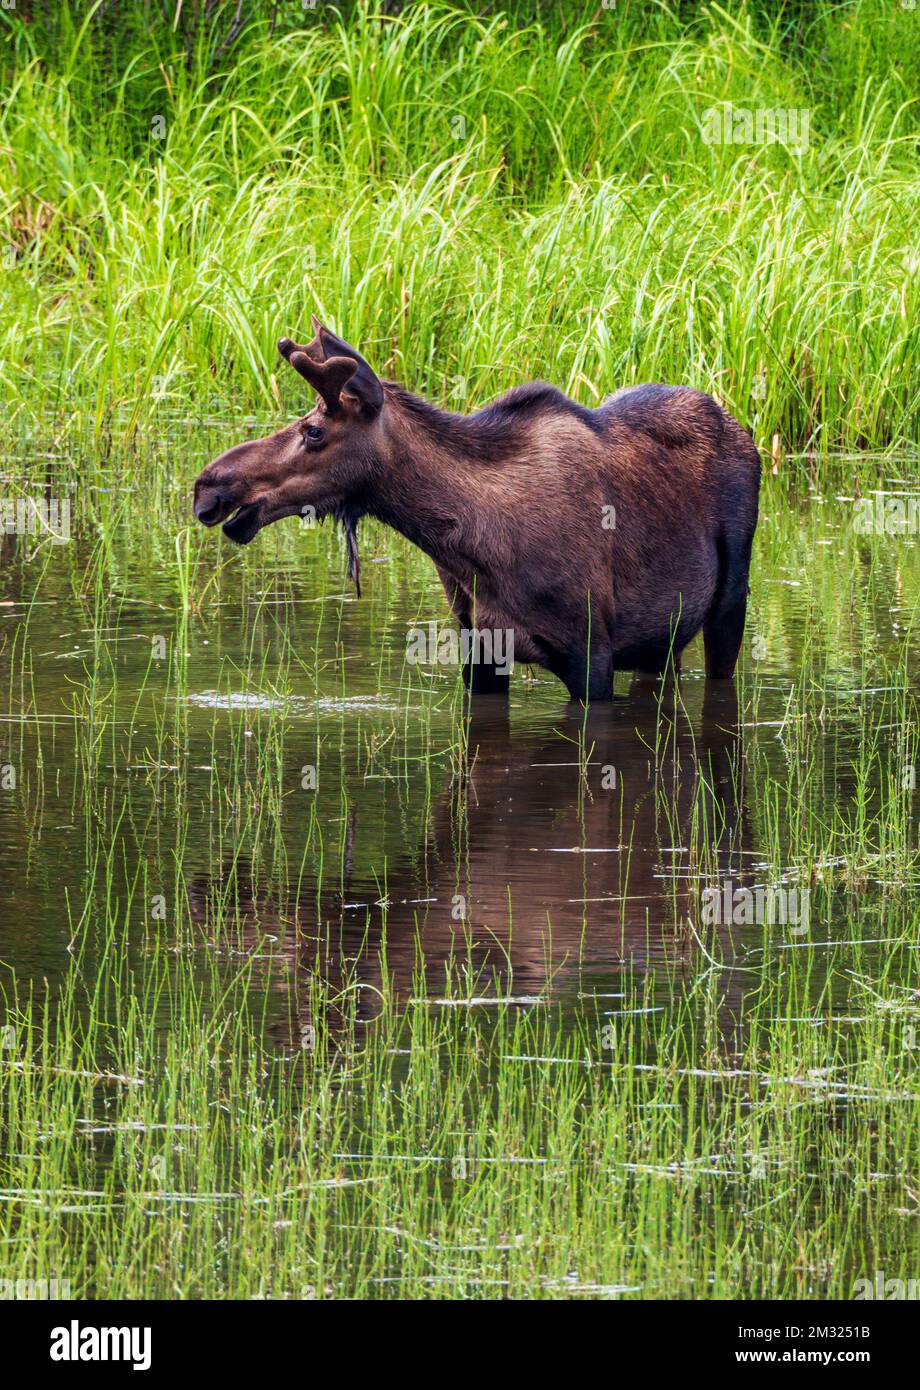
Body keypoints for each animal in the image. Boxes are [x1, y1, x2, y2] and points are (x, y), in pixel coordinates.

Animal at [193, 318, 761, 701]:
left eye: (313, 431)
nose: (208, 487)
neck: (473, 549)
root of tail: (745, 434)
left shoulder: (591, 653)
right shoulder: (480, 648)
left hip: (729, 600)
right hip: (661, 640)